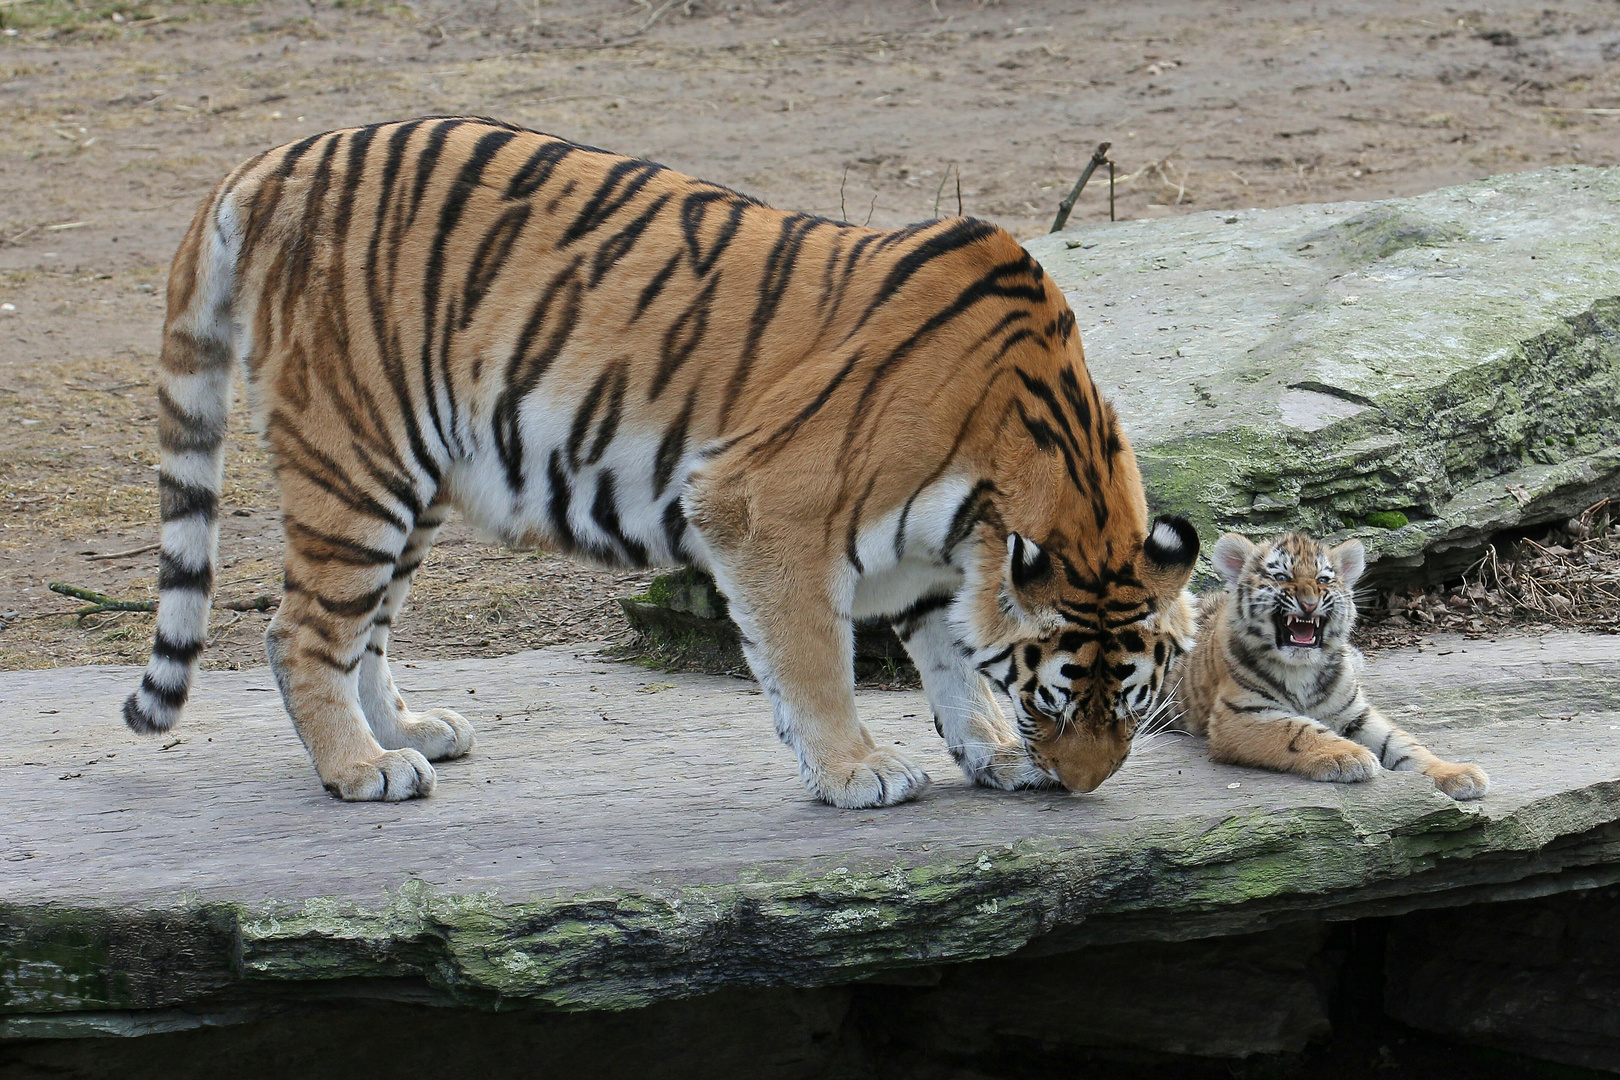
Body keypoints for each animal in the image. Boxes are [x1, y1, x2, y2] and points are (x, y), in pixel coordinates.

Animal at [126, 120, 1198, 809]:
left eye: (1132, 702)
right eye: (1058, 693)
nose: (1082, 787)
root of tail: (271, 160)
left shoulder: (939, 561)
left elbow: (949, 666)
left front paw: (991, 754)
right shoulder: (766, 509)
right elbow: (815, 660)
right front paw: (857, 773)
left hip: (415, 479)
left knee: (368, 629)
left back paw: (411, 734)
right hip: (359, 460)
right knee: (300, 629)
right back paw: (360, 772)